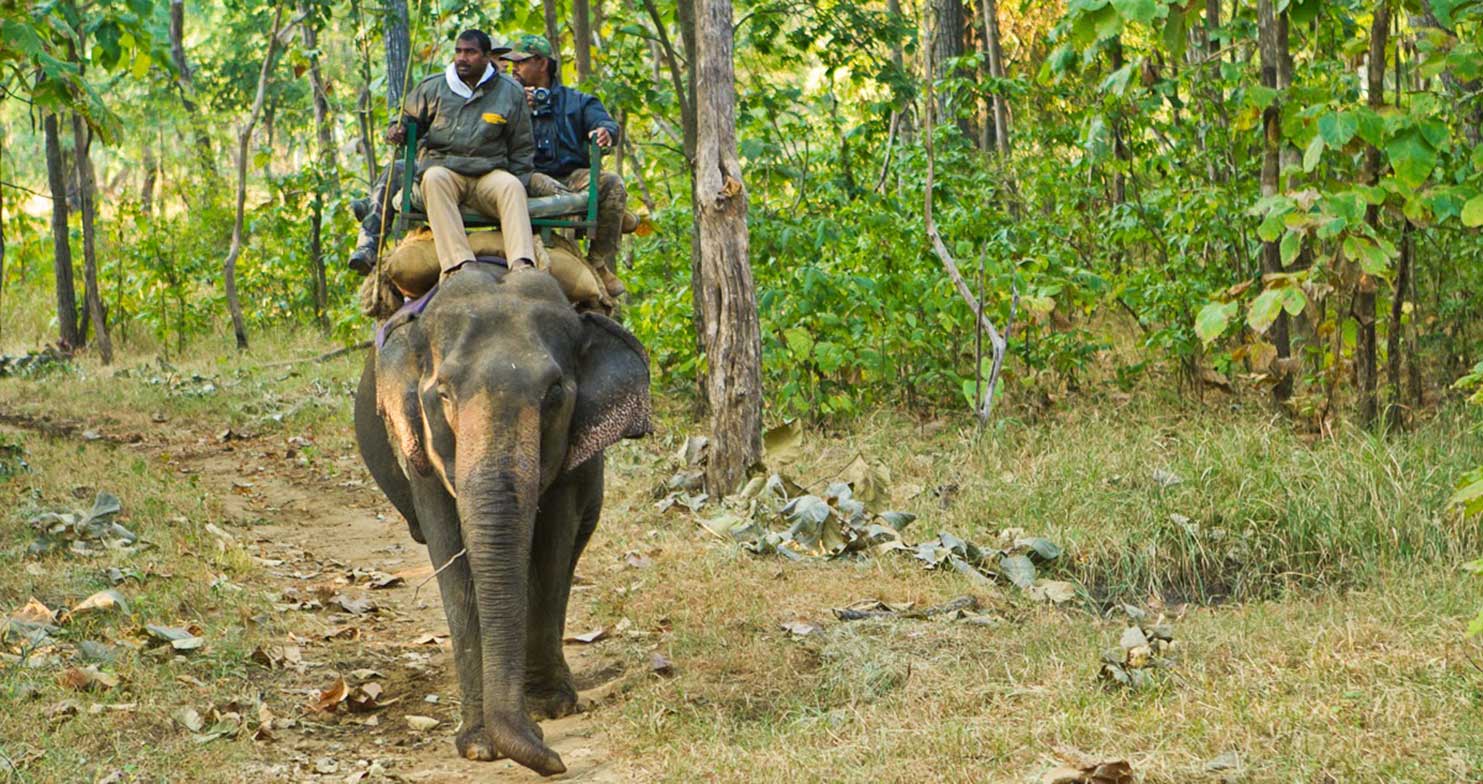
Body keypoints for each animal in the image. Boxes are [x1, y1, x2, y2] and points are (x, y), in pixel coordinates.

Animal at [352, 263, 649, 776]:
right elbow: (452, 559)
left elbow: (551, 545)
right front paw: (478, 744)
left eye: (555, 393)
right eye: (443, 393)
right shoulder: (421, 451)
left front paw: (551, 706)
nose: (553, 758)